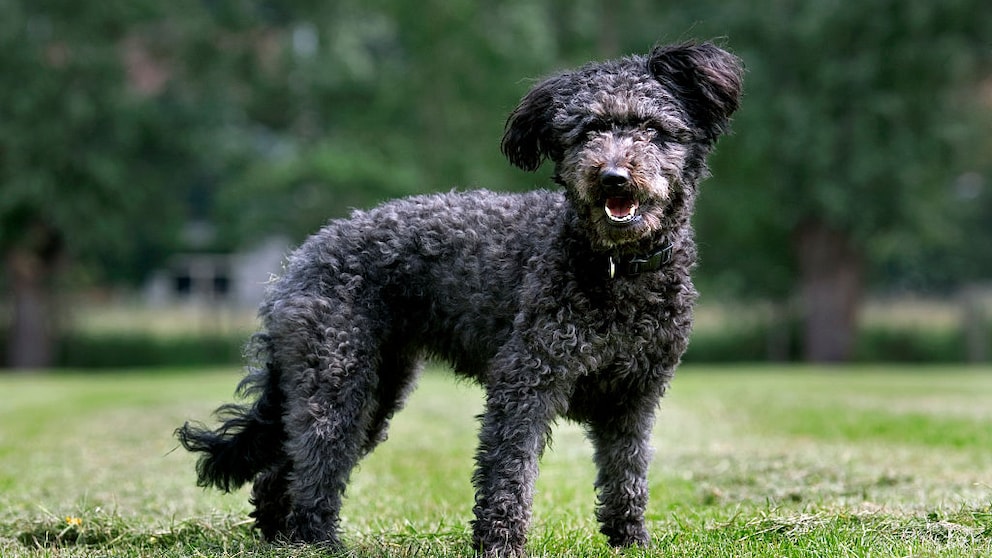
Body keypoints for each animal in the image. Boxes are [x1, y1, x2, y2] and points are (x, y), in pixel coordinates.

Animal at [174, 41, 740, 556]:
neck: (615, 270)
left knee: (283, 468)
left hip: (375, 388)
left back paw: (283, 537)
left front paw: (631, 542)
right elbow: (509, 474)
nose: (613, 177)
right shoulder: (525, 384)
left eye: (653, 129)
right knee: (316, 461)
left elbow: (627, 476)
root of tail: (302, 258)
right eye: (587, 132)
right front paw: (500, 544)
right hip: (336, 380)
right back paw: (318, 540)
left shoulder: (634, 399)